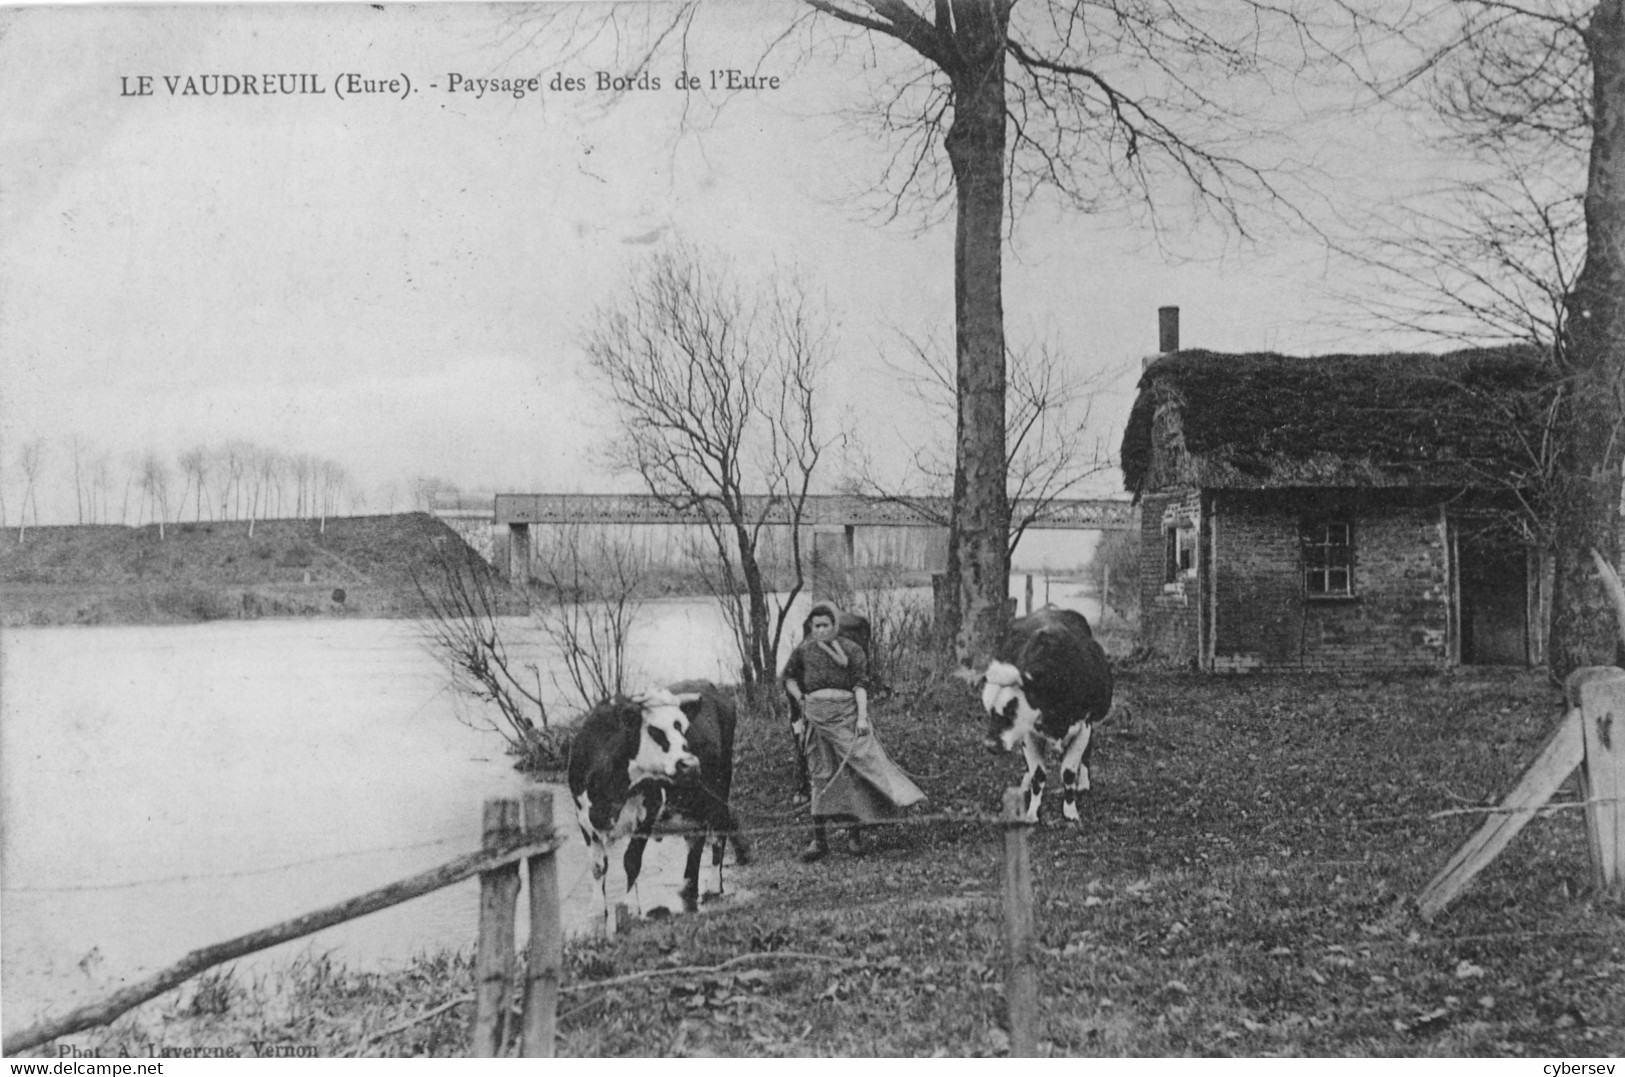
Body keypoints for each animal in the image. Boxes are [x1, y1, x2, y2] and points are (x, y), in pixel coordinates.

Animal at [568, 682, 750, 929]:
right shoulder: (584, 820)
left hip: (720, 790)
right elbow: (598, 866)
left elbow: (631, 860)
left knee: (718, 833)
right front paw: (596, 910)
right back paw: (686, 887)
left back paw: (713, 885)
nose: (690, 764)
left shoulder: (647, 813)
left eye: (682, 727)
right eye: (654, 730)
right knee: (695, 838)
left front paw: (631, 908)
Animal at [968, 607, 1111, 825]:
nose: (990, 745)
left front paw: (1070, 812)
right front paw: (1032, 812)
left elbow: (1068, 773)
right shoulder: (1029, 734)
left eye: (1012, 708)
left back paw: (1084, 782)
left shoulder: (1083, 726)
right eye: (989, 709)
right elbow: (1038, 774)